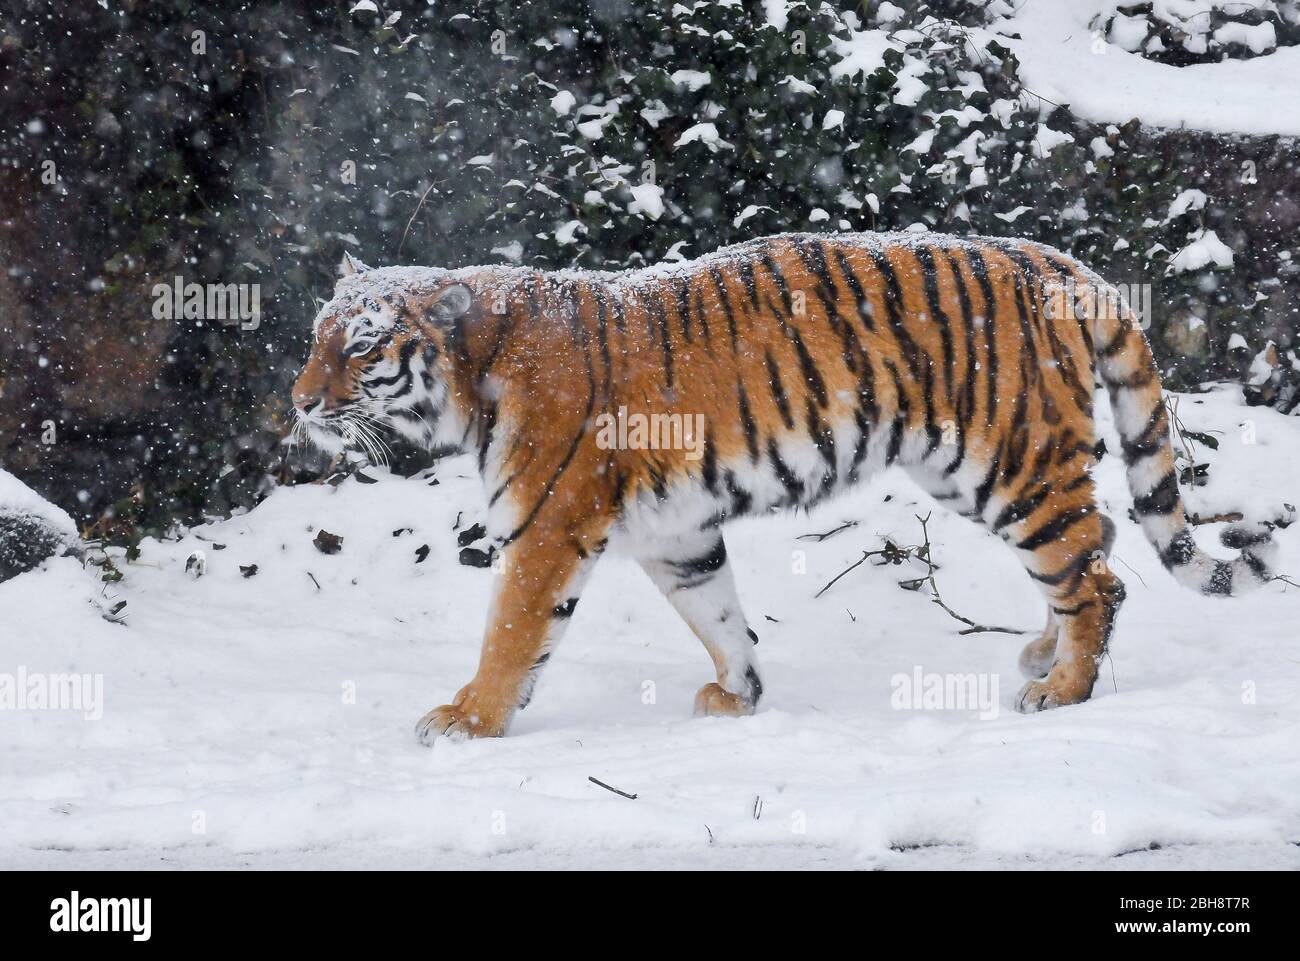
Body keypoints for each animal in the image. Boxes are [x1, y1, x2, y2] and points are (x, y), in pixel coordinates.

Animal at [289, 232, 1274, 743]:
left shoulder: (547, 524)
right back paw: (1043, 653)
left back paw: (1059, 691)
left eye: (362, 348)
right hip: (980, 471)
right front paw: (741, 693)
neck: (471, 379)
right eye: (316, 337)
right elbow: (717, 611)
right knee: (1091, 546)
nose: (298, 401)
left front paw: (468, 718)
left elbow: (511, 631)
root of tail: (1048, 258)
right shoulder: (675, 532)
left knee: (1096, 576)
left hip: (1011, 461)